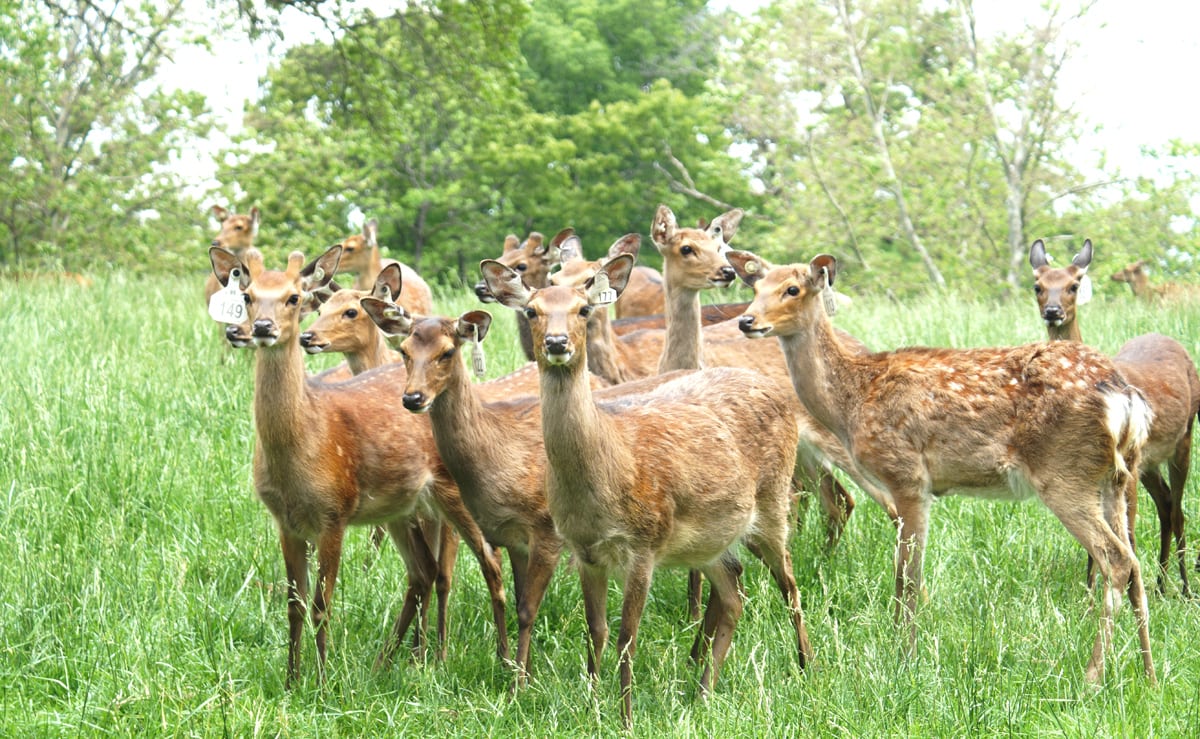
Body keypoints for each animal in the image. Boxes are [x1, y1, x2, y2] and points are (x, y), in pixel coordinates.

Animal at [208, 243, 508, 686]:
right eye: (246, 296)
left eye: (294, 298)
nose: (261, 327)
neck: (301, 445)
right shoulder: (286, 521)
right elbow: (293, 605)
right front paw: (290, 680)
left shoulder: (335, 510)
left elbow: (321, 604)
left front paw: (321, 682)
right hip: (400, 507)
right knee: (423, 571)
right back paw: (388, 663)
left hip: (453, 491)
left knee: (488, 562)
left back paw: (503, 663)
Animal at [482, 253, 811, 729]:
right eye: (531, 311)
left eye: (583, 309)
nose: (558, 343)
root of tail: (775, 390)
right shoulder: (584, 550)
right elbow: (595, 630)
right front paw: (591, 706)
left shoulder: (644, 543)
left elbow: (627, 635)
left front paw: (626, 717)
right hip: (711, 539)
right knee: (734, 592)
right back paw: (703, 691)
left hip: (772, 502)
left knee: (790, 583)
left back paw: (807, 668)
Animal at [724, 249, 1156, 686]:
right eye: (755, 287)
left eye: (792, 289)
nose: (747, 321)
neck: (852, 399)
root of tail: (1124, 397)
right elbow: (905, 573)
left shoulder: (907, 475)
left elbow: (908, 576)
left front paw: (904, 660)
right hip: (1115, 477)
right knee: (1135, 563)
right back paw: (1148, 675)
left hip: (1065, 472)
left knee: (1116, 560)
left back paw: (1091, 678)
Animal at [1032, 239, 1200, 597]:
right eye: (1038, 285)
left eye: (1074, 284)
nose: (1053, 312)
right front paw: (1090, 591)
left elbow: (1127, 532)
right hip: (1147, 463)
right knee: (1166, 504)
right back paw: (1161, 584)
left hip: (1183, 437)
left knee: (1178, 510)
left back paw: (1183, 586)